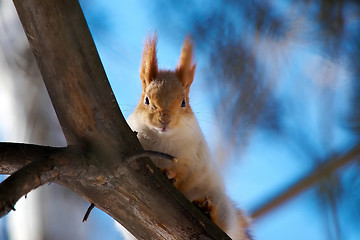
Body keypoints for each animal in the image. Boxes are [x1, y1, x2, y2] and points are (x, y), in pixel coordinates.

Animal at [121, 33, 250, 240]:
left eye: (183, 102)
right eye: (147, 100)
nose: (164, 120)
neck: (164, 140)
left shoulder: (193, 156)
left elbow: (185, 174)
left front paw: (172, 175)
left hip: (220, 202)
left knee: (222, 223)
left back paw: (208, 211)